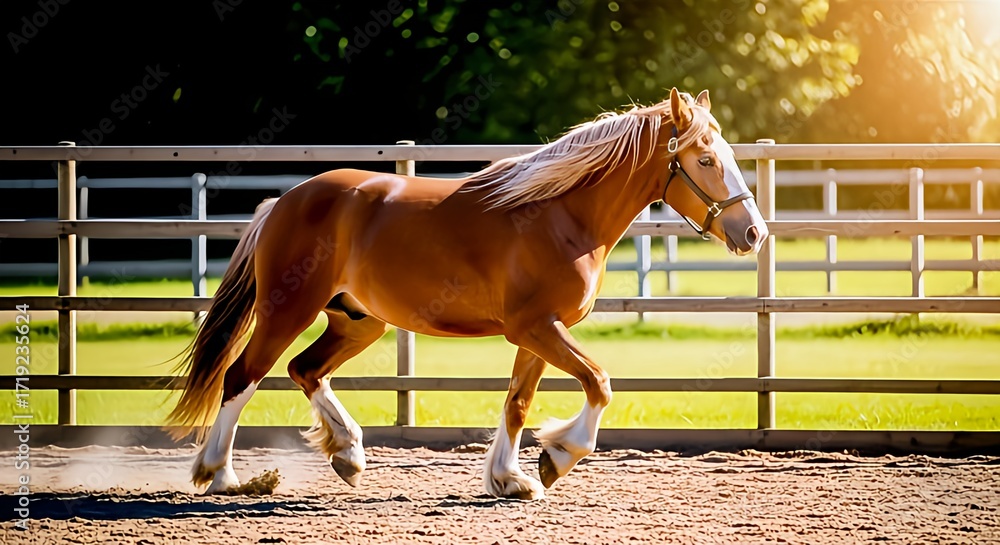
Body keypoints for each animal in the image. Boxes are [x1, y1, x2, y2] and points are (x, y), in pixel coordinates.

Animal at [164, 87, 768, 500]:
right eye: (705, 160)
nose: (754, 233)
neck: (559, 216)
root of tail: (282, 202)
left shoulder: (538, 333)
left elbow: (517, 402)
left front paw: (510, 478)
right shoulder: (537, 327)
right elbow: (598, 383)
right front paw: (556, 458)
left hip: (358, 321)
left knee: (304, 370)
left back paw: (348, 454)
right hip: (287, 310)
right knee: (242, 376)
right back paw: (222, 475)